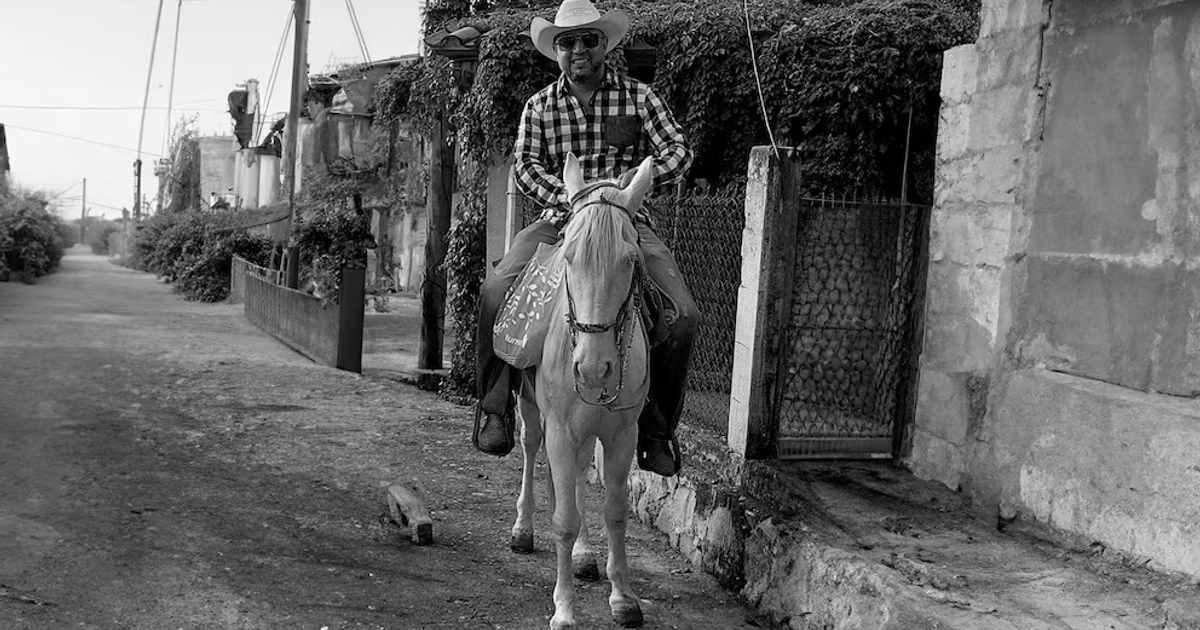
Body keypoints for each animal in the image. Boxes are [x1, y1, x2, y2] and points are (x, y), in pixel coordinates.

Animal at [509, 154, 654, 629]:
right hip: (533, 409)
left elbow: (614, 510)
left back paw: (585, 555)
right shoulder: (559, 429)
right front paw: (565, 610)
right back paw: (523, 529)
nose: (592, 368)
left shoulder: (623, 434)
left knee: (576, 476)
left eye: (630, 259)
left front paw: (623, 596)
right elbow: (563, 520)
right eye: (569, 256)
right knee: (531, 447)